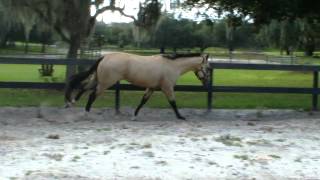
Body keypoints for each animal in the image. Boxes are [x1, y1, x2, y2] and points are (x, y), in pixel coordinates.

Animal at [64, 52, 210, 119]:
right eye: (208, 68)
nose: (207, 83)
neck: (172, 66)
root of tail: (105, 56)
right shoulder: (167, 88)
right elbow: (173, 103)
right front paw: (180, 117)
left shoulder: (151, 88)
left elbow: (143, 101)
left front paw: (134, 115)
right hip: (105, 83)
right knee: (92, 95)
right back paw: (86, 113)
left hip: (99, 80)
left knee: (83, 87)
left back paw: (71, 103)